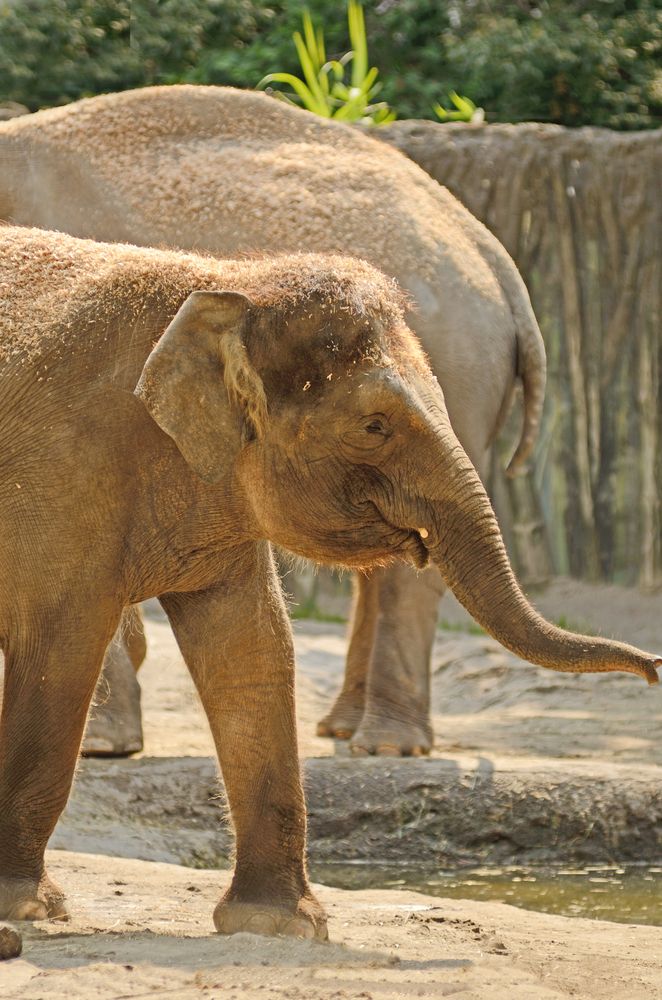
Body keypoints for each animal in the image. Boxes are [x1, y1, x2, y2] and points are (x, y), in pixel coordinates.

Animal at [0, 225, 657, 933]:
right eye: (374, 426)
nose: (654, 667)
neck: (226, 284)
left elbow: (252, 651)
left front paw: (279, 924)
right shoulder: (66, 472)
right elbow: (61, 650)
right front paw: (31, 907)